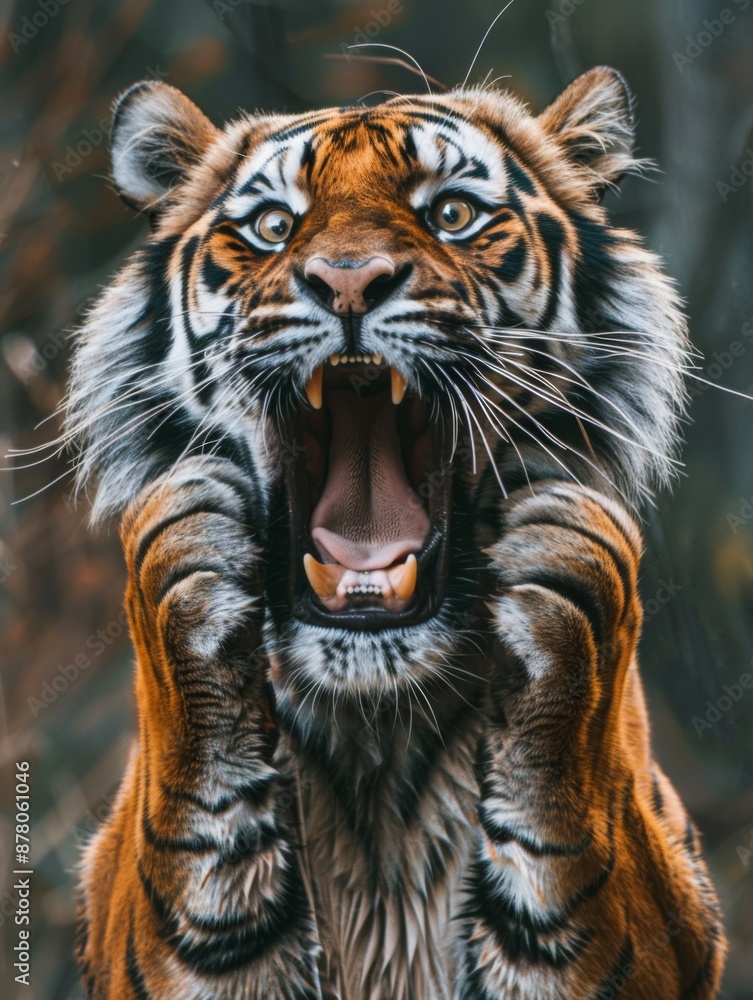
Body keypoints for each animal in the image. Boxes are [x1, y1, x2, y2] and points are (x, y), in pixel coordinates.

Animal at [65, 67, 727, 999]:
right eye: (273, 227)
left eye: (451, 212)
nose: (347, 281)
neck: (379, 732)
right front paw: (181, 561)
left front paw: (568, 569)